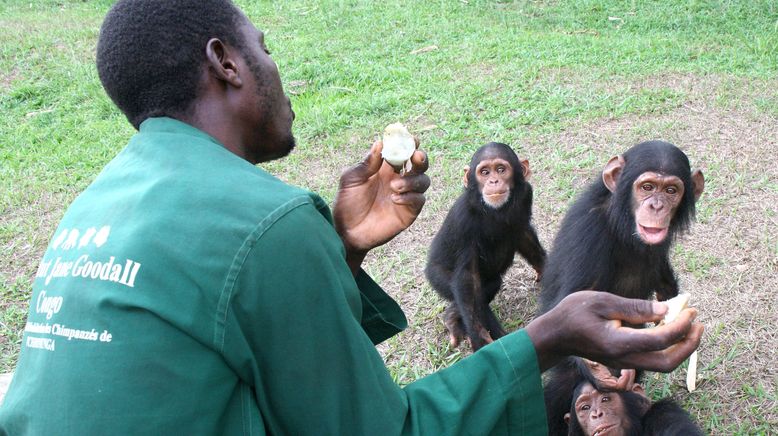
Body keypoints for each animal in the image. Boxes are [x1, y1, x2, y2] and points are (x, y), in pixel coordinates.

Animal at [424, 142, 544, 350]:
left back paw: (452, 316)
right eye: (485, 172)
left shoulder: (526, 196)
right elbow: (467, 279)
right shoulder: (463, 219)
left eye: (501, 169)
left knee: (490, 285)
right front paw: (480, 338)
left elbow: (525, 237)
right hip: (437, 276)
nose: (494, 181)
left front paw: (545, 269)